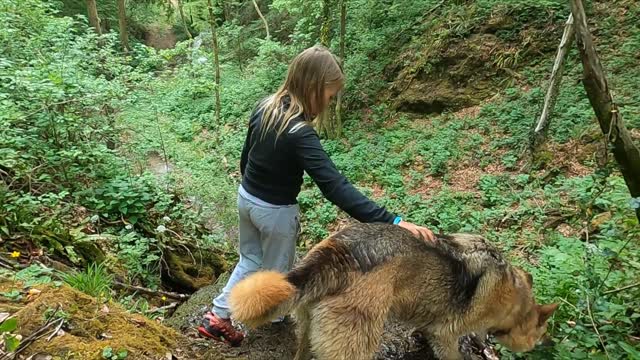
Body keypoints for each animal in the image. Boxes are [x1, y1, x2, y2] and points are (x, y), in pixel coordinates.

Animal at [229, 224, 556, 358]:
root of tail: (337, 255)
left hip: (309, 332)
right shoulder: (446, 335)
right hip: (356, 344)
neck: (515, 302)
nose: (549, 343)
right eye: (541, 332)